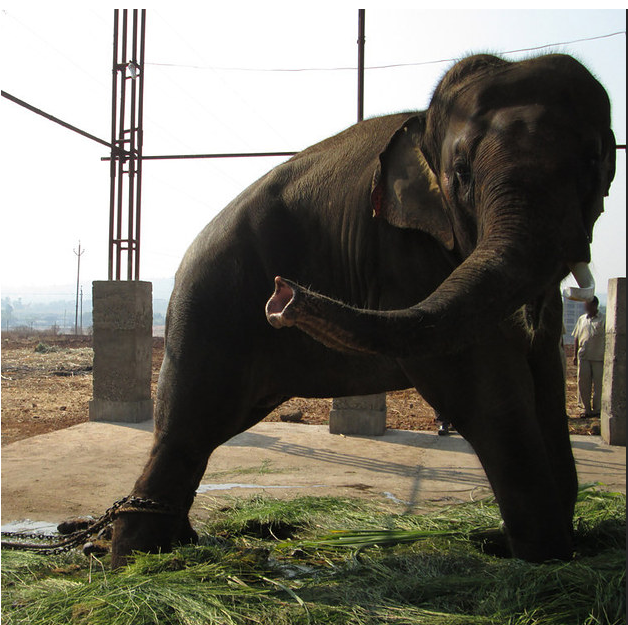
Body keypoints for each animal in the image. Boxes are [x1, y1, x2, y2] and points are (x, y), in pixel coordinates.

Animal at [110, 52, 616, 564]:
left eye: (594, 161)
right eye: (463, 173)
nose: (281, 295)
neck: (425, 124)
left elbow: (544, 374)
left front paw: (542, 546)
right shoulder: (402, 250)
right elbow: (477, 383)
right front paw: (545, 557)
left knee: (205, 430)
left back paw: (169, 548)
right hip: (208, 308)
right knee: (187, 425)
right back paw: (138, 560)